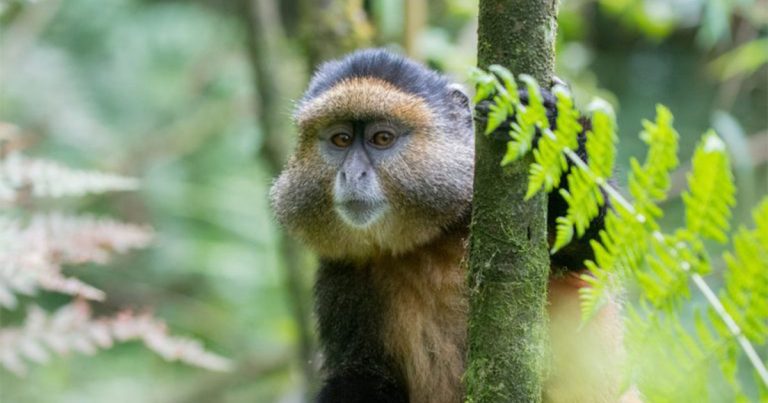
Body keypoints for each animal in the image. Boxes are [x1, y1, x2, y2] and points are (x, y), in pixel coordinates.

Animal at [270, 48, 638, 403]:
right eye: (342, 140)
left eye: (382, 138)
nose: (351, 174)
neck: (426, 241)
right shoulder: (342, 275)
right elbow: (363, 375)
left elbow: (600, 246)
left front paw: (549, 125)